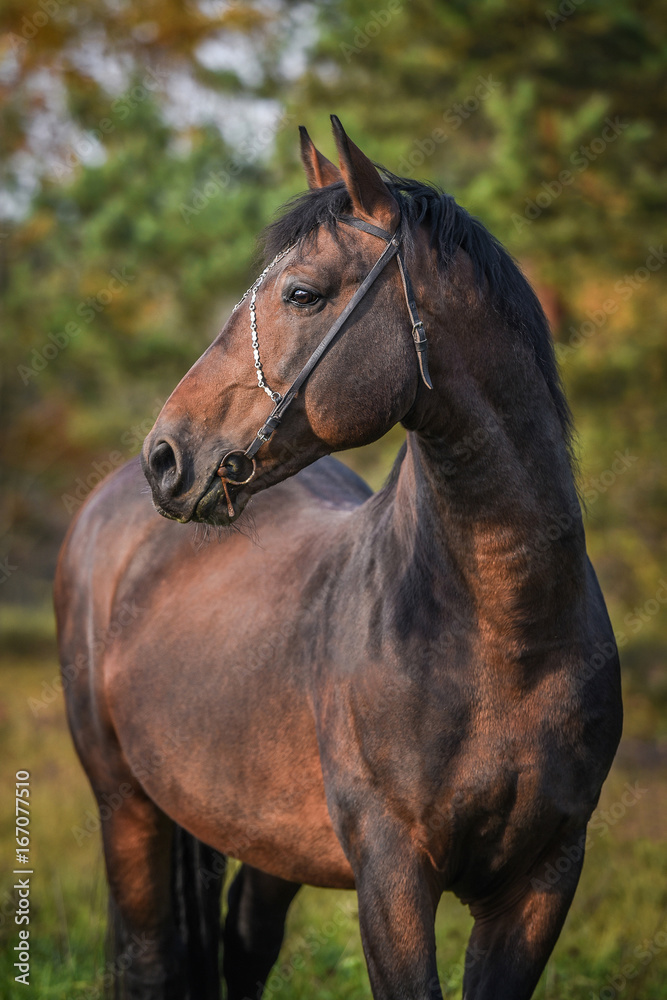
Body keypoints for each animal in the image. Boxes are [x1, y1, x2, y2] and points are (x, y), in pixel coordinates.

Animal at [54, 113, 624, 996]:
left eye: (301, 293)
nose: (166, 457)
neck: (507, 634)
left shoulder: (543, 877)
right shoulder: (392, 876)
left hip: (262, 840)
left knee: (242, 951)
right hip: (128, 806)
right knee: (148, 959)